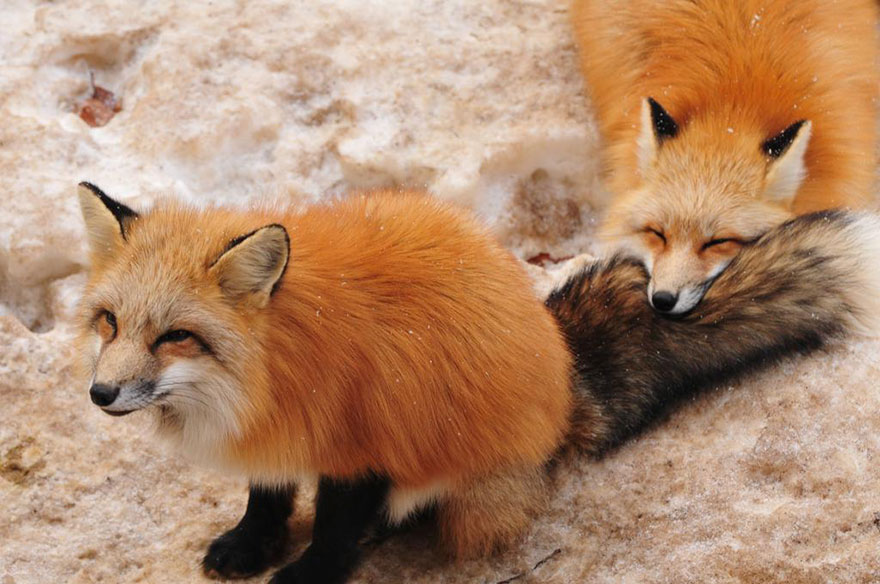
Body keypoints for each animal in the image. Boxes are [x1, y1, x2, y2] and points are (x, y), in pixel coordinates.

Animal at [76, 181, 880, 584]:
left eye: (175, 335)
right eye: (110, 323)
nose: (99, 396)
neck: (274, 374)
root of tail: (564, 379)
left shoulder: (365, 436)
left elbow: (334, 529)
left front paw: (306, 577)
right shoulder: (282, 434)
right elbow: (267, 496)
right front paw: (251, 545)